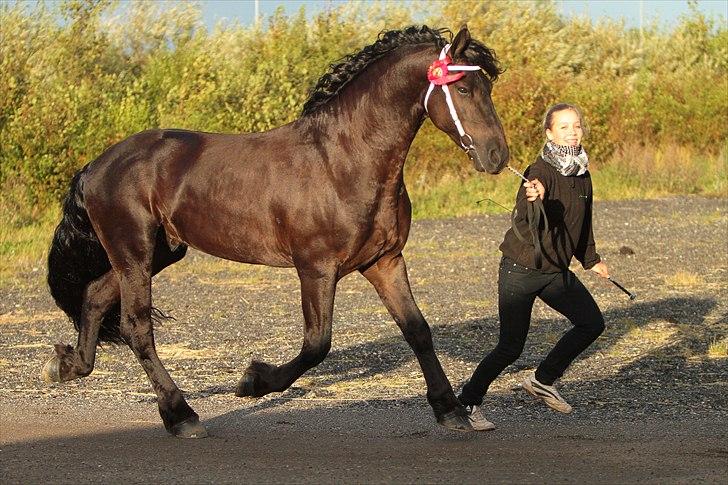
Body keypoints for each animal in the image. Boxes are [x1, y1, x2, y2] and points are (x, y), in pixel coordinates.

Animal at [44, 25, 506, 434]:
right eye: (464, 89)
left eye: (487, 87)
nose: (497, 155)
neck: (343, 163)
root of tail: (94, 167)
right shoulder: (316, 268)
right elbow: (317, 344)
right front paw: (254, 381)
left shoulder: (384, 262)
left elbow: (417, 331)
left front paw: (450, 411)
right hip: (134, 252)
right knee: (137, 328)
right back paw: (181, 416)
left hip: (159, 252)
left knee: (95, 295)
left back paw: (67, 365)